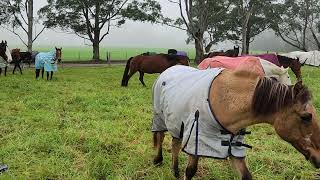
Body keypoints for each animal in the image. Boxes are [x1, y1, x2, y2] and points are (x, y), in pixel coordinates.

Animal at [152, 65, 320, 179]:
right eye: (306, 117)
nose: (319, 159)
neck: (224, 102)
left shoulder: (233, 147)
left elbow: (246, 175)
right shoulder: (196, 140)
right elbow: (190, 171)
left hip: (177, 123)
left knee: (175, 142)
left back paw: (175, 171)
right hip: (160, 117)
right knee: (160, 136)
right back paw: (158, 160)